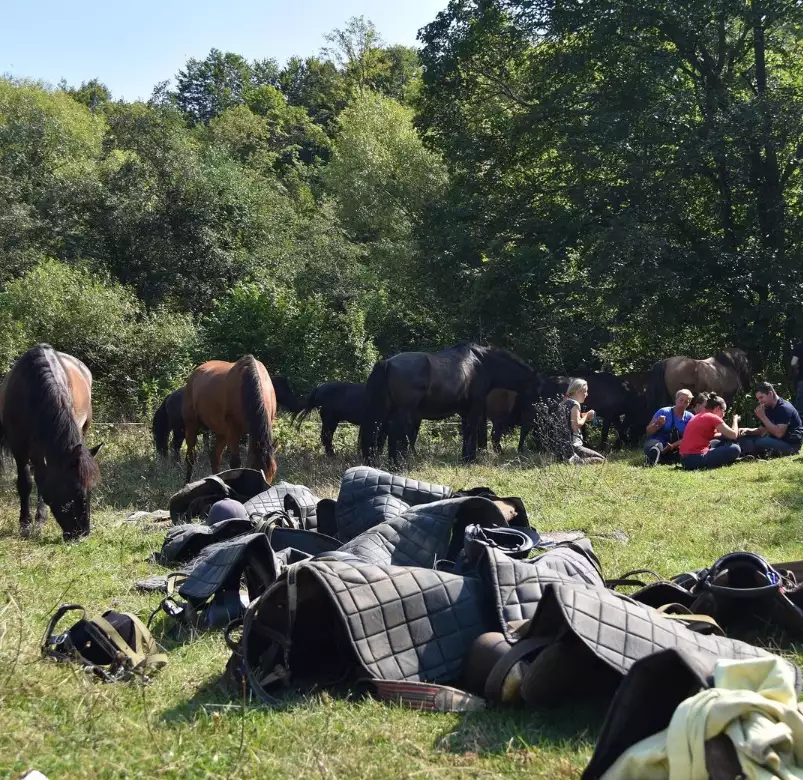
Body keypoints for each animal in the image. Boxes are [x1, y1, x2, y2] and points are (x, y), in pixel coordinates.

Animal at [0, 345, 102, 540]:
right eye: (73, 489)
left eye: (91, 490)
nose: (82, 534)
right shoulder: (19, 447)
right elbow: (26, 482)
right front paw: (25, 524)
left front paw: (39, 520)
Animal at [181, 355, 277, 484]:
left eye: (273, 471)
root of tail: (194, 374)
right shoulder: (233, 430)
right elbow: (235, 464)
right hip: (191, 425)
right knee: (190, 457)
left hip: (222, 432)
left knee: (215, 457)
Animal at [359, 343, 539, 463]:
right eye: (537, 391)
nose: (533, 417)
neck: (481, 363)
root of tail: (387, 363)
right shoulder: (475, 407)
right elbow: (472, 430)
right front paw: (470, 459)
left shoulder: (465, 410)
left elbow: (467, 431)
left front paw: (466, 457)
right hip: (402, 410)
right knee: (393, 432)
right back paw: (396, 464)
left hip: (385, 409)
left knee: (377, 432)